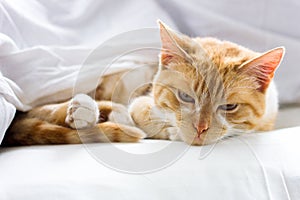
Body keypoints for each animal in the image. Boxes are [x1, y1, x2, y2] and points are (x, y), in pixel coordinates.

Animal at [1, 21, 284, 146]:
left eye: (229, 107)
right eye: (186, 97)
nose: (200, 128)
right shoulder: (143, 95)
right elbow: (144, 110)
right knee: (41, 110)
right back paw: (83, 110)